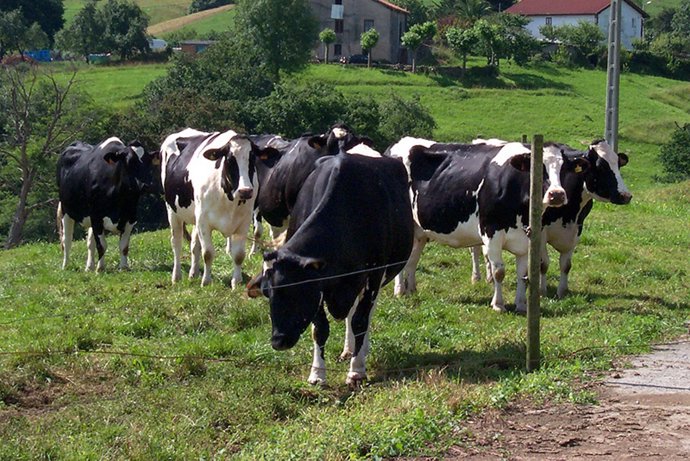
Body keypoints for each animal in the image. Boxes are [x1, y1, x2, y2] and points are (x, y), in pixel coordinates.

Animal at [56, 137, 159, 271]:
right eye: (129, 162)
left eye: (148, 162)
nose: (146, 185)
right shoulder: (96, 217)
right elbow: (102, 245)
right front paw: (100, 268)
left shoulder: (130, 218)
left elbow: (124, 246)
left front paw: (124, 267)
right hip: (66, 210)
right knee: (67, 240)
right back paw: (66, 265)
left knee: (90, 242)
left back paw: (89, 267)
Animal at [160, 128, 276, 287]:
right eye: (229, 160)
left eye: (252, 159)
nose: (245, 191)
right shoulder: (203, 221)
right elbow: (208, 253)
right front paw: (206, 281)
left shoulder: (244, 221)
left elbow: (239, 255)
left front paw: (236, 282)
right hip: (172, 211)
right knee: (176, 243)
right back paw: (176, 276)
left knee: (194, 245)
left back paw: (193, 273)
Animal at [248, 146, 414, 387]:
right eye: (267, 293)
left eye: (298, 291)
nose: (278, 341)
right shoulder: (321, 285)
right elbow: (320, 329)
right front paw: (317, 373)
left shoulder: (372, 276)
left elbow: (361, 322)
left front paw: (356, 371)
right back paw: (348, 349)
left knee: (364, 315)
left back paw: (360, 352)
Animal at [386, 136, 589, 313]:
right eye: (537, 168)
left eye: (564, 169)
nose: (557, 194)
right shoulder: (491, 233)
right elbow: (499, 271)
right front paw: (498, 304)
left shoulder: (526, 238)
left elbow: (523, 274)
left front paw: (521, 304)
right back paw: (400, 290)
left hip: (420, 231)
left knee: (413, 259)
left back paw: (411, 289)